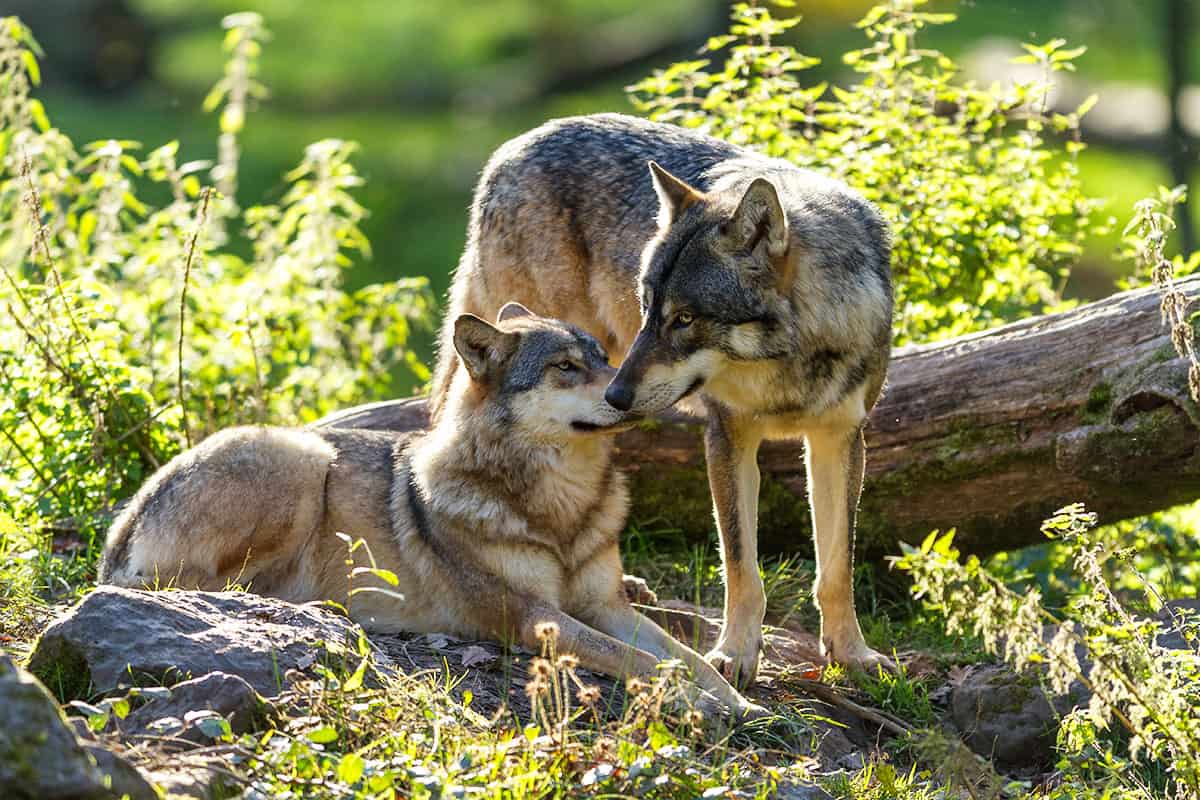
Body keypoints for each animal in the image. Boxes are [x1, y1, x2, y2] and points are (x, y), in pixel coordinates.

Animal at [100, 304, 758, 719]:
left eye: (602, 356)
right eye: (565, 367)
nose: (626, 393)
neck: (559, 509)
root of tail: (121, 525)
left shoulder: (603, 605)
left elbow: (684, 656)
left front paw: (735, 698)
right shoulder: (535, 618)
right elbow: (642, 661)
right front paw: (707, 704)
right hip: (306, 460)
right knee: (201, 587)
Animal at [432, 113, 892, 690]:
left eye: (685, 319)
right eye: (648, 307)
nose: (617, 394)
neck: (790, 361)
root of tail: (511, 147)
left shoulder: (841, 439)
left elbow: (837, 566)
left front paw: (851, 654)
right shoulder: (727, 437)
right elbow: (741, 566)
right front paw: (735, 654)